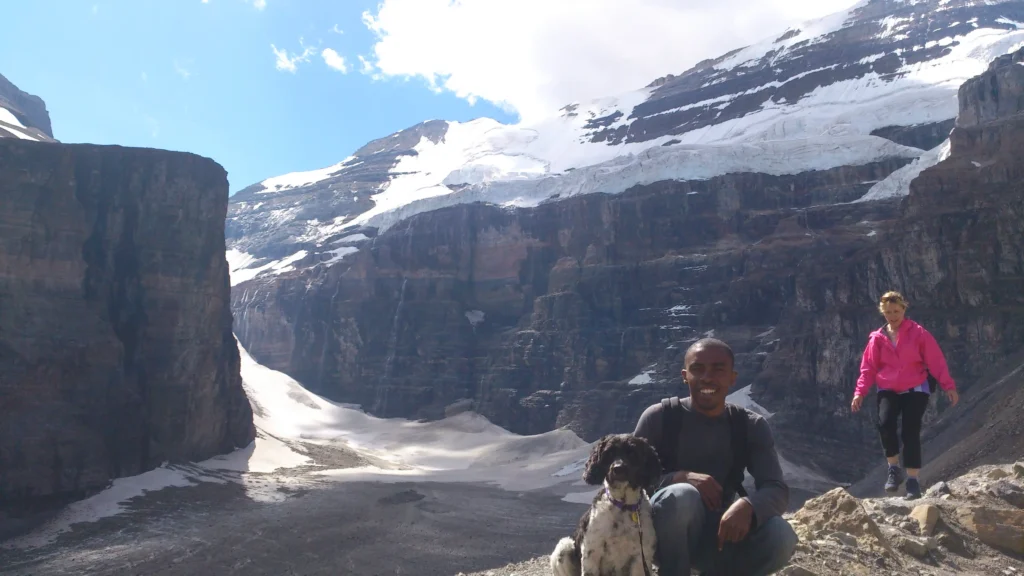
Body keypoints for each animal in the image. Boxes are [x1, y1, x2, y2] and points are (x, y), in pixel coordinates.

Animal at [552, 432, 663, 569]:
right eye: (609, 453)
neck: (622, 505)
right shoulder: (591, 553)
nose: (618, 468)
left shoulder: (640, 556)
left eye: (632, 453)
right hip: (564, 546)